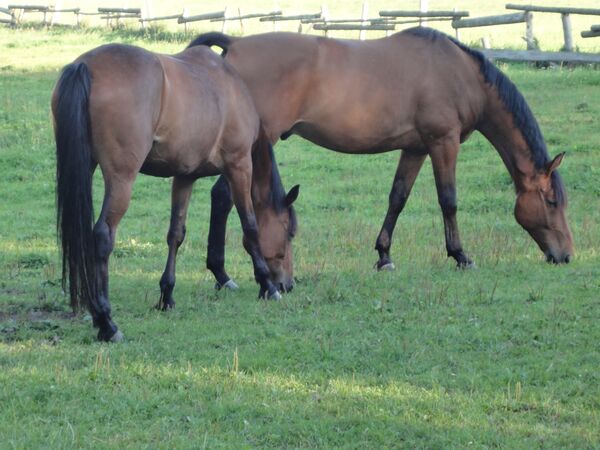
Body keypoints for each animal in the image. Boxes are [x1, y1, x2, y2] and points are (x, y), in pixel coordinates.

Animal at [52, 43, 299, 342]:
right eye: (289, 232)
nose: (288, 284)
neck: (231, 88)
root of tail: (86, 66)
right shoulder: (239, 165)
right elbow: (250, 227)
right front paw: (266, 286)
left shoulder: (184, 177)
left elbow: (175, 235)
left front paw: (166, 295)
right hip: (121, 178)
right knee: (102, 236)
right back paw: (106, 322)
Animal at [188, 27, 573, 286]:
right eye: (552, 201)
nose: (566, 255)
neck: (461, 73)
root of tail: (235, 43)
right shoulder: (443, 142)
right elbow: (448, 200)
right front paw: (461, 255)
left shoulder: (416, 148)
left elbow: (397, 198)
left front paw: (384, 256)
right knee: (222, 197)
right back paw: (223, 274)